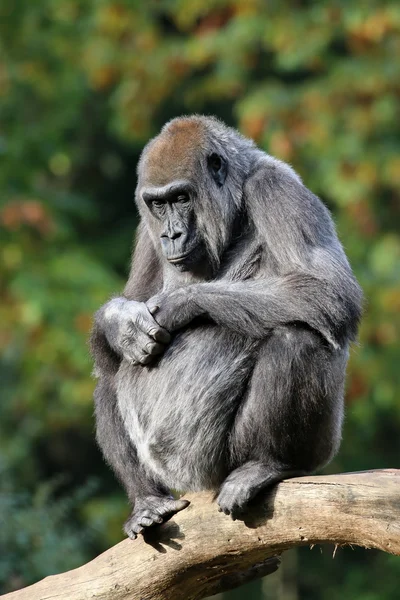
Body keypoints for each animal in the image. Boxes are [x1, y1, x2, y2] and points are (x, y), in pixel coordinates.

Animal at [91, 116, 362, 540]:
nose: (171, 234)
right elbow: (130, 303)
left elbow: (326, 291)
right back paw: (148, 501)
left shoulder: (275, 189)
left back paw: (269, 464)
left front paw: (179, 305)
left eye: (182, 198)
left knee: (300, 334)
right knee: (109, 369)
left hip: (247, 461)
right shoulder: (146, 230)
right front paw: (121, 321)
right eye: (158, 204)